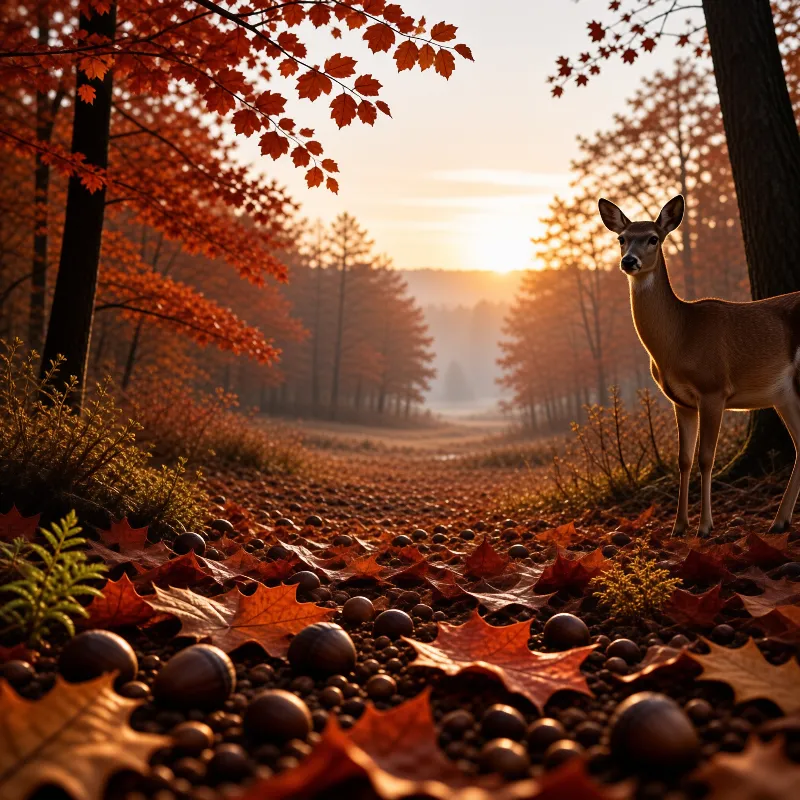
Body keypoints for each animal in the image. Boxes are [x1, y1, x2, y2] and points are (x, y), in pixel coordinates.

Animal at [598, 195, 800, 537]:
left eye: (653, 238)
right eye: (621, 238)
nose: (629, 261)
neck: (680, 338)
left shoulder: (713, 388)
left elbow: (706, 458)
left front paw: (704, 526)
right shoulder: (681, 401)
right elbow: (684, 459)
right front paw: (678, 526)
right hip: (783, 395)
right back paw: (779, 521)